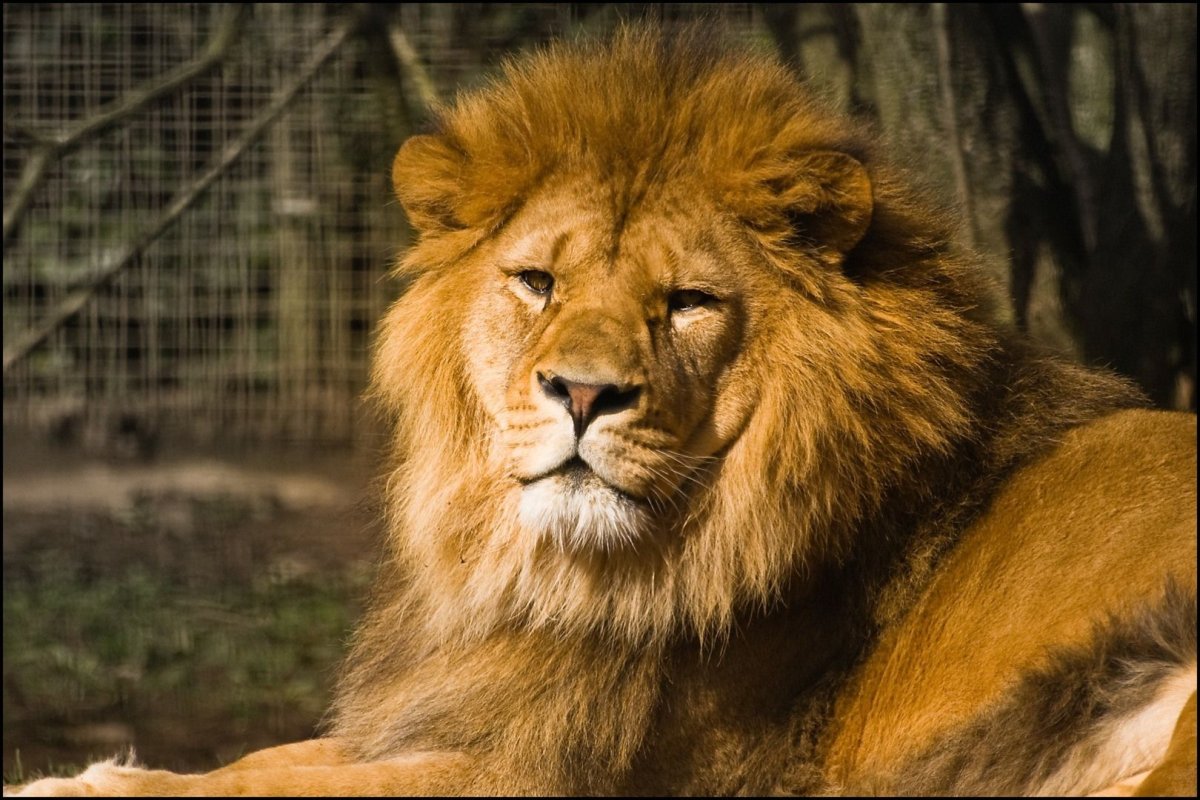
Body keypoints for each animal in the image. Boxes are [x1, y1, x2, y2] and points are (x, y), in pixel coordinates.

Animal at [10, 25, 1196, 797]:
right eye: (537, 281)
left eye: (689, 303)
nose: (582, 392)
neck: (568, 577)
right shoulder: (476, 707)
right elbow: (269, 758)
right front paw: (98, 768)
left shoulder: (573, 774)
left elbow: (284, 786)